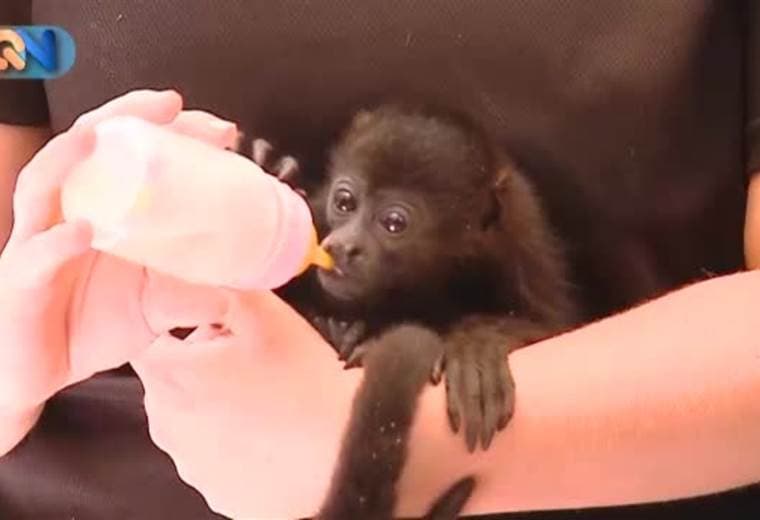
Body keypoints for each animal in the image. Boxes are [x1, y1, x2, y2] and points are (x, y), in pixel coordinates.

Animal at [252, 103, 579, 519]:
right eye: (345, 203)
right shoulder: (318, 212)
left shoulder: (521, 238)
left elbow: (554, 324)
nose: (343, 246)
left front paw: (478, 345)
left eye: (394, 223)